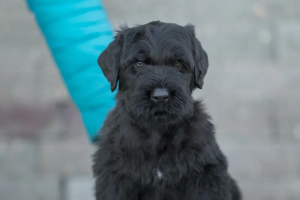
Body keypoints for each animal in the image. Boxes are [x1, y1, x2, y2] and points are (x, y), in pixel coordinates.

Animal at [94, 21, 241, 199]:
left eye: (178, 63)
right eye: (139, 63)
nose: (160, 96)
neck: (156, 130)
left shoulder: (207, 174)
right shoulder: (114, 176)